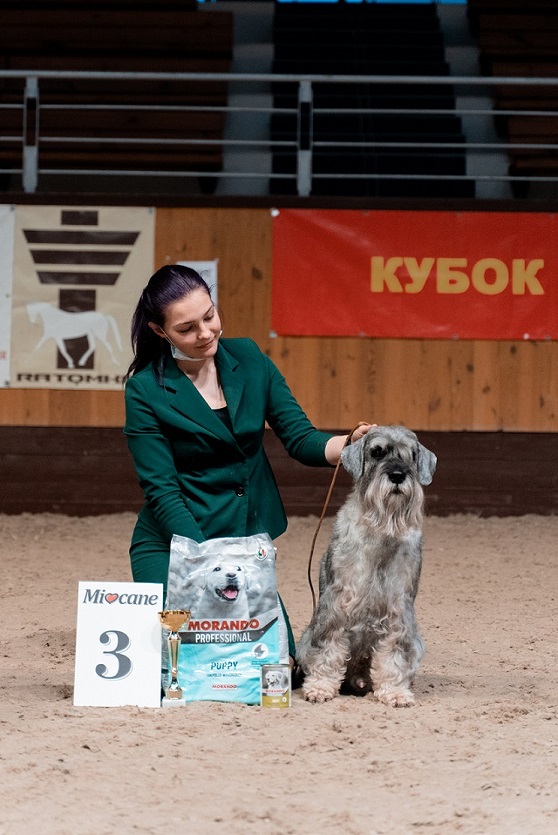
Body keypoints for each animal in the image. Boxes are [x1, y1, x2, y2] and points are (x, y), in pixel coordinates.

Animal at [296, 425, 437, 707]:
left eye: (412, 455)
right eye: (377, 452)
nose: (397, 475)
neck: (381, 531)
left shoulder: (398, 609)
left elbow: (394, 654)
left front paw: (395, 692)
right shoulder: (337, 603)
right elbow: (327, 649)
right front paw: (319, 687)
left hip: (417, 643)